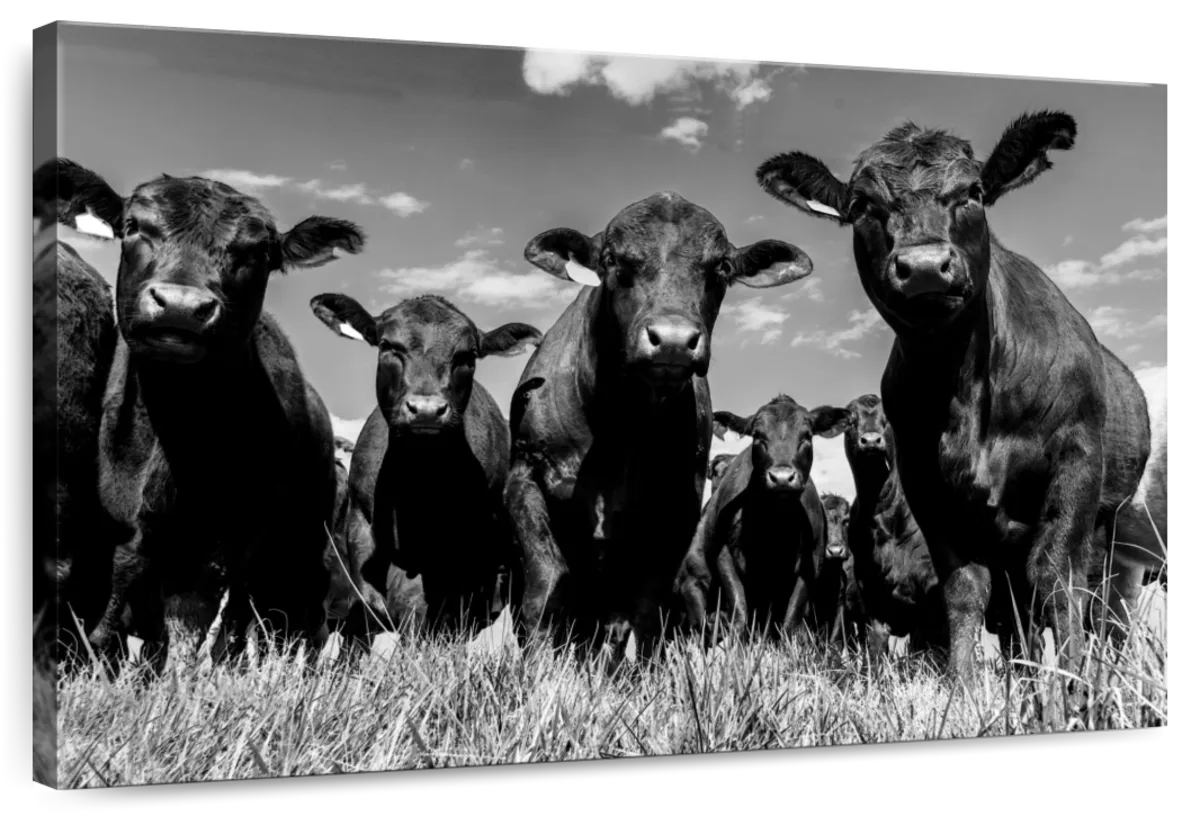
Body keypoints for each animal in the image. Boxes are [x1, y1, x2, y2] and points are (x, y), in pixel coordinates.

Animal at [69, 163, 367, 677]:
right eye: (133, 226)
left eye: (258, 252)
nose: (181, 305)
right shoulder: (124, 525)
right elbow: (127, 606)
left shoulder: (237, 535)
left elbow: (211, 624)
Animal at [509, 191, 814, 660]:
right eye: (612, 259)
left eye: (721, 266)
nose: (672, 340)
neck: (620, 424)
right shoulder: (525, 476)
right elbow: (546, 583)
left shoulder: (676, 507)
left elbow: (644, 609)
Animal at [674, 396, 850, 643]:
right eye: (758, 436)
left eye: (806, 435)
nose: (782, 478)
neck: (772, 524)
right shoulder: (724, 556)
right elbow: (739, 611)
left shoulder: (812, 562)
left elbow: (791, 620)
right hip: (694, 579)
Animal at [829, 395, 947, 657]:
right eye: (851, 420)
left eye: (888, 419)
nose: (871, 440)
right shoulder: (871, 594)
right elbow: (876, 648)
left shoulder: (929, 591)